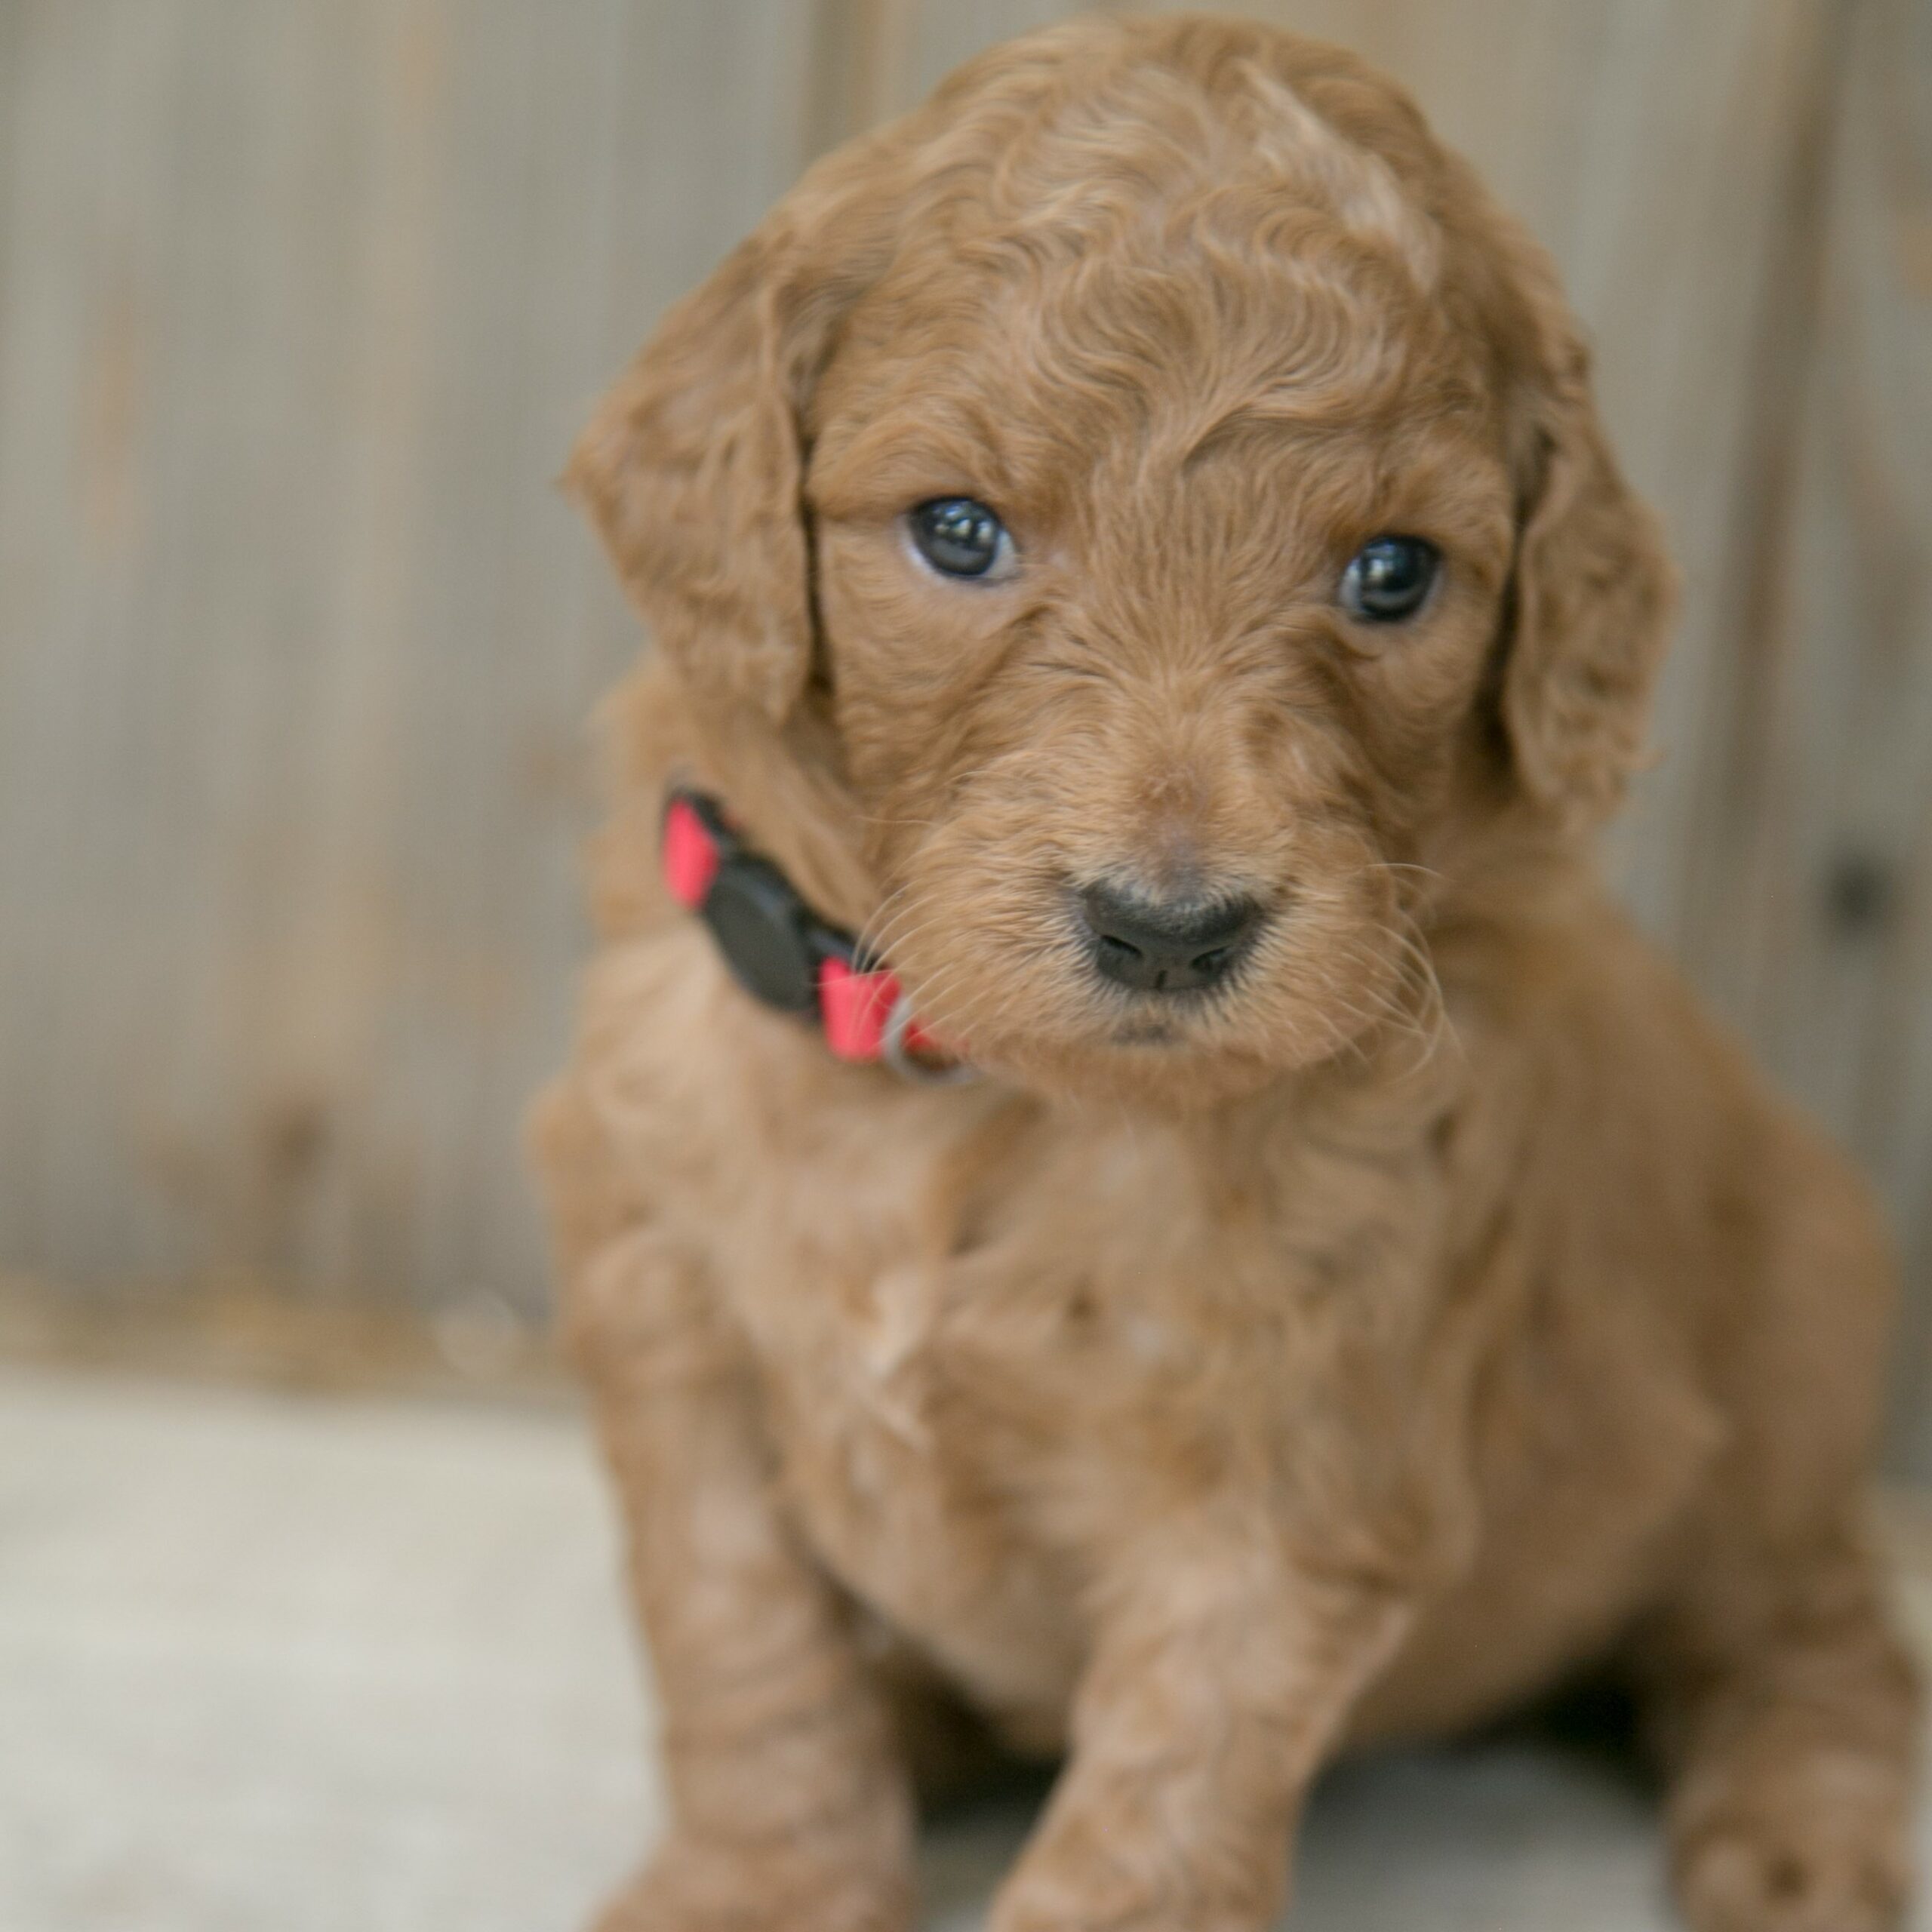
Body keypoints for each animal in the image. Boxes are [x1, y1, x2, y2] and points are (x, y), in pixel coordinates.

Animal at [537, 18, 1924, 1932]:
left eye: (1391, 572)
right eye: (955, 532)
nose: (1165, 927)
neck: (958, 1093)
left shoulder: (1282, 1471)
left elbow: (1158, 1801)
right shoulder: (674, 1327)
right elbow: (746, 1654)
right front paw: (754, 1883)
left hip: (1773, 1415)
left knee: (1820, 1635)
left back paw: (1794, 1845)